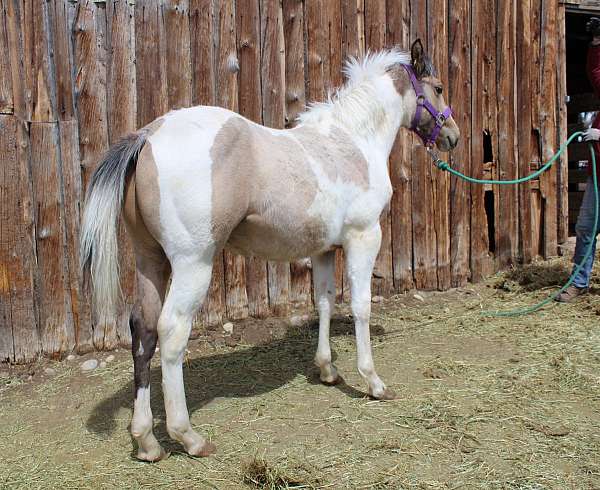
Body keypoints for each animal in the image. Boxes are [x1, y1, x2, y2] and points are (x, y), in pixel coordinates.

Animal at [79, 39, 462, 464]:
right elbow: (361, 306)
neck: (352, 142)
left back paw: (146, 441)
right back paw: (189, 437)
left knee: (144, 332)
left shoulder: (324, 249)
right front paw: (373, 382)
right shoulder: (364, 237)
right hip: (193, 264)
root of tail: (149, 134)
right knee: (172, 332)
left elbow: (324, 301)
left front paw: (327, 370)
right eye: (439, 88)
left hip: (151, 261)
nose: (453, 135)